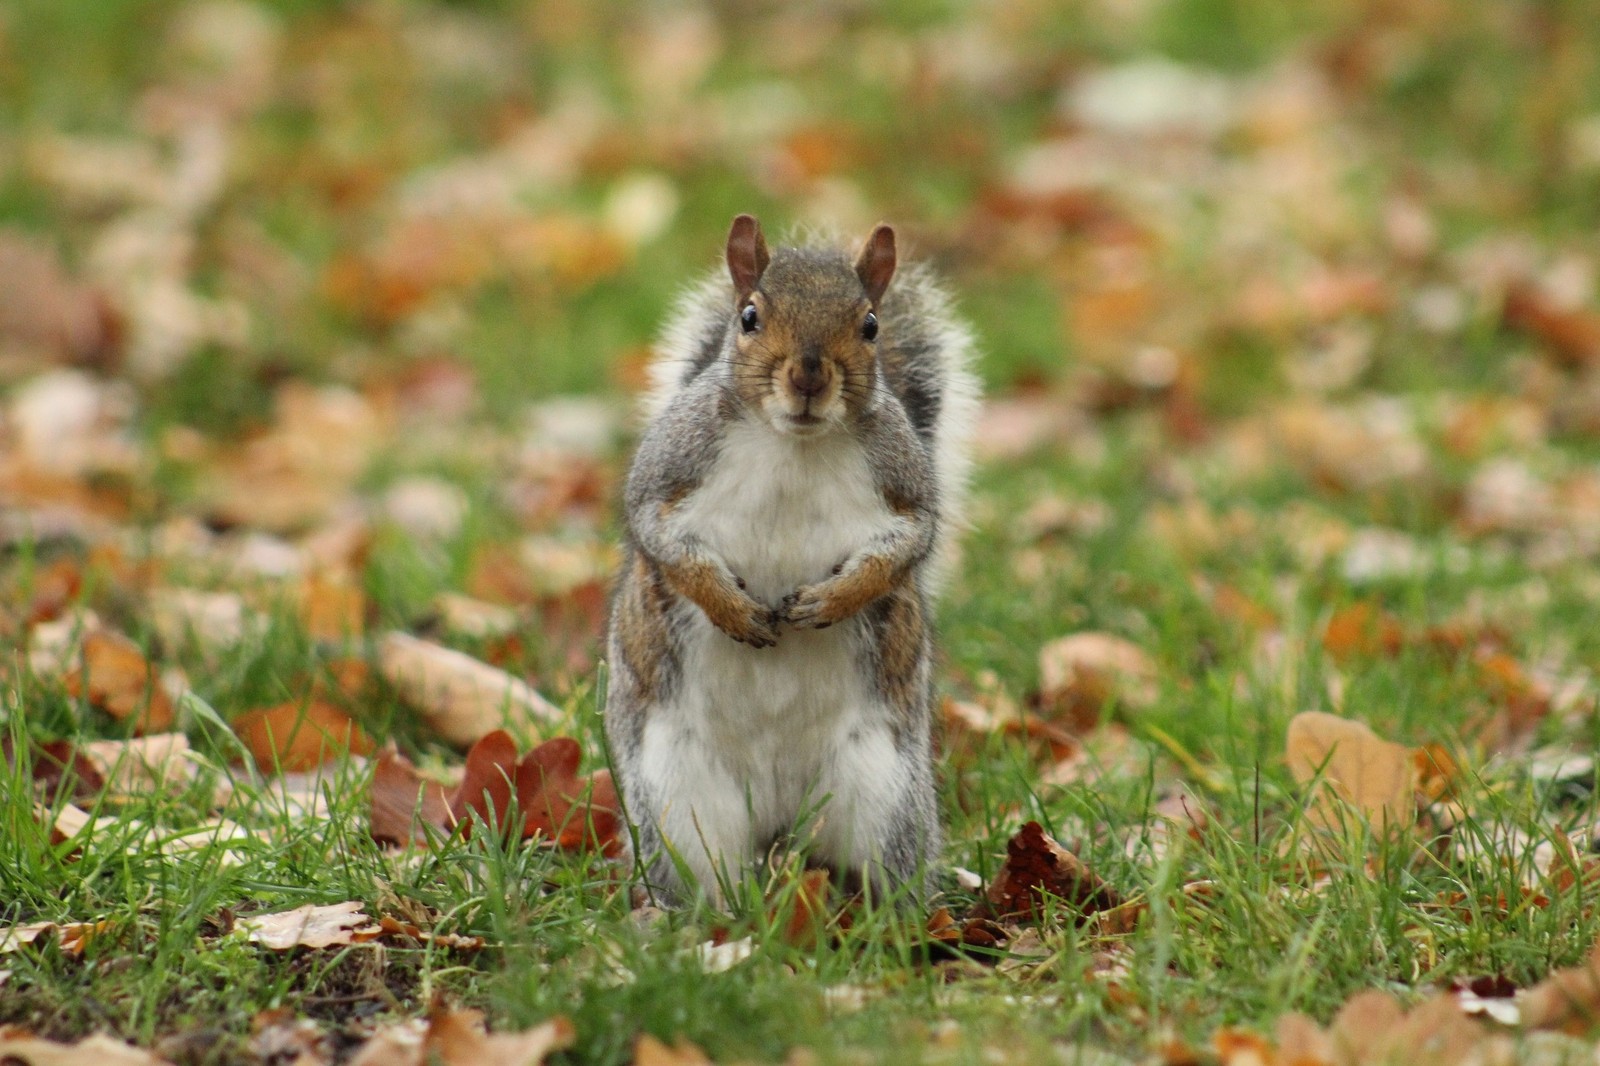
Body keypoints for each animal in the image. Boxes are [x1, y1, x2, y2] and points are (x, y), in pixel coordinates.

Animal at [601, 211, 972, 902]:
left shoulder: (905, 487)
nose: (808, 376)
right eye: (749, 316)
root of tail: (777, 816)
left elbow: (906, 547)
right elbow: (661, 541)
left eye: (870, 325)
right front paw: (731, 609)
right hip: (678, 800)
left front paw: (831, 600)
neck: (794, 444)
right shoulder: (670, 468)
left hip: (883, 794)